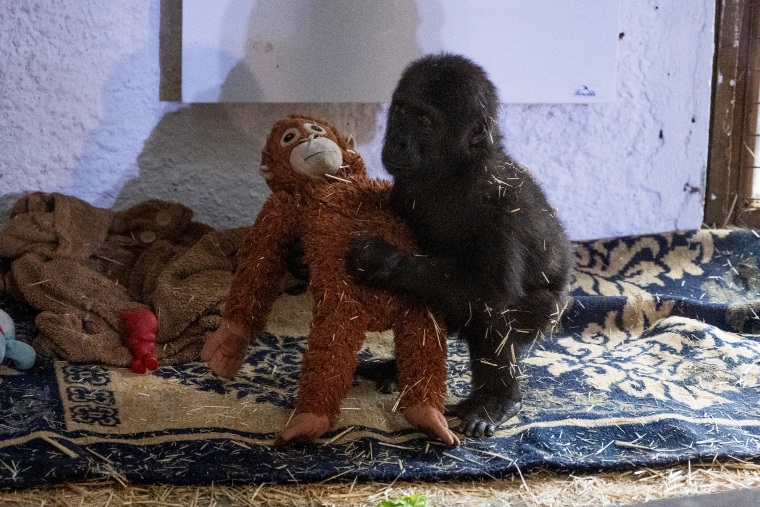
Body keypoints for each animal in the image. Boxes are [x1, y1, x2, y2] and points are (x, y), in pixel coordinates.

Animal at [348, 53, 572, 438]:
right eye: (401, 110)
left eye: (424, 120)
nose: (397, 140)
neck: (457, 167)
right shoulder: (405, 188)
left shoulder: (502, 200)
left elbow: (490, 290)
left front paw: (381, 259)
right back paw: (396, 369)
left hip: (546, 318)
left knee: (497, 310)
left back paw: (496, 399)